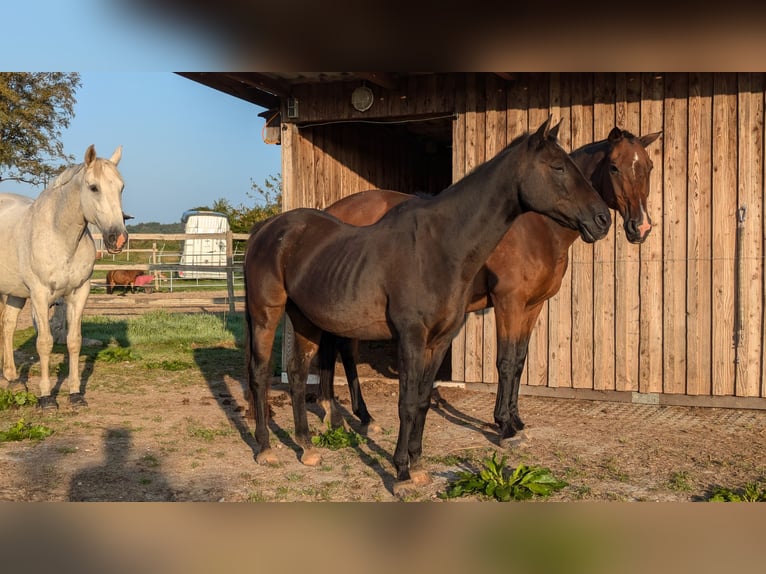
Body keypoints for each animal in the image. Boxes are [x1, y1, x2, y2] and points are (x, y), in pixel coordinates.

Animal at [0, 146, 128, 412]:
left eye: (121, 187)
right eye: (93, 187)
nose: (118, 238)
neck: (59, 235)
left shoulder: (79, 292)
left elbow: (74, 341)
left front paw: (75, 394)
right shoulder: (40, 294)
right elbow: (45, 343)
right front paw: (46, 398)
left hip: (16, 292)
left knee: (7, 326)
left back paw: (12, 378)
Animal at [243, 118, 616, 496]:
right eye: (557, 167)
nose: (602, 219)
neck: (440, 247)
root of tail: (265, 229)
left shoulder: (440, 341)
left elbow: (422, 401)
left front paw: (418, 464)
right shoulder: (411, 337)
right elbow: (407, 402)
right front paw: (402, 472)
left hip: (305, 319)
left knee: (298, 374)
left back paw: (306, 446)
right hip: (266, 314)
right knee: (259, 374)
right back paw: (265, 448)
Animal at [320, 128, 664, 448]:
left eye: (648, 166)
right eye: (615, 167)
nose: (640, 226)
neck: (536, 228)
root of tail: (333, 212)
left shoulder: (532, 305)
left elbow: (520, 360)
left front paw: (516, 419)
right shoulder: (508, 303)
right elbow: (506, 361)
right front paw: (504, 426)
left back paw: (353, 415)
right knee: (344, 351)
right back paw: (356, 415)